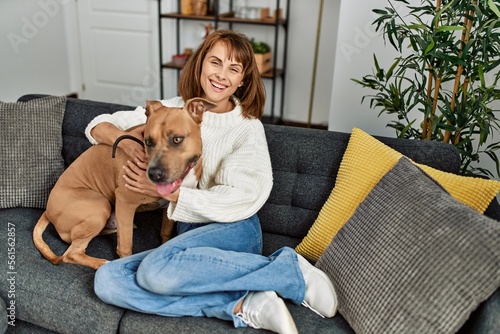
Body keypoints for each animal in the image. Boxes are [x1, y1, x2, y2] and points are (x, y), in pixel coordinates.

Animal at [32, 98, 216, 270]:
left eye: (177, 139)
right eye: (148, 141)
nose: (154, 174)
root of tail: (47, 209)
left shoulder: (170, 205)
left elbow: (165, 232)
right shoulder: (125, 200)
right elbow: (126, 246)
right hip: (100, 206)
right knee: (71, 253)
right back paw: (102, 262)